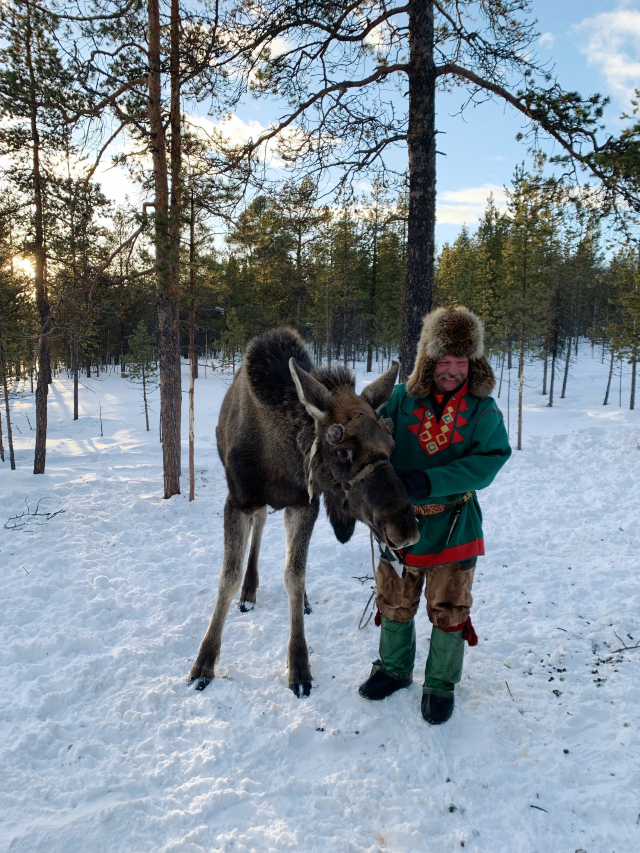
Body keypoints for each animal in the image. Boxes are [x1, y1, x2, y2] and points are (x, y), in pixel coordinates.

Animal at [190, 330, 420, 696]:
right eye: (342, 451)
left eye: (390, 445)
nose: (406, 528)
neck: (281, 459)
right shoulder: (238, 501)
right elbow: (228, 577)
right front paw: (204, 663)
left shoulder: (305, 502)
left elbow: (294, 576)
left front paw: (299, 666)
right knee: (261, 524)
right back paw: (249, 592)